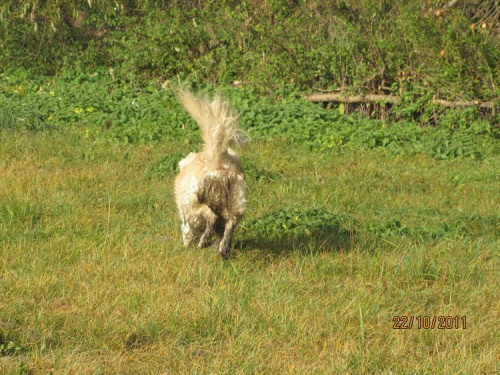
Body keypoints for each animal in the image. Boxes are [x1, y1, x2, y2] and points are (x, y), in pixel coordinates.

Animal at [174, 90, 248, 260]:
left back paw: (204, 241)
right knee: (230, 223)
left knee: (211, 217)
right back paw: (223, 249)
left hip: (195, 203)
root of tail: (217, 159)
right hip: (236, 203)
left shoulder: (188, 216)